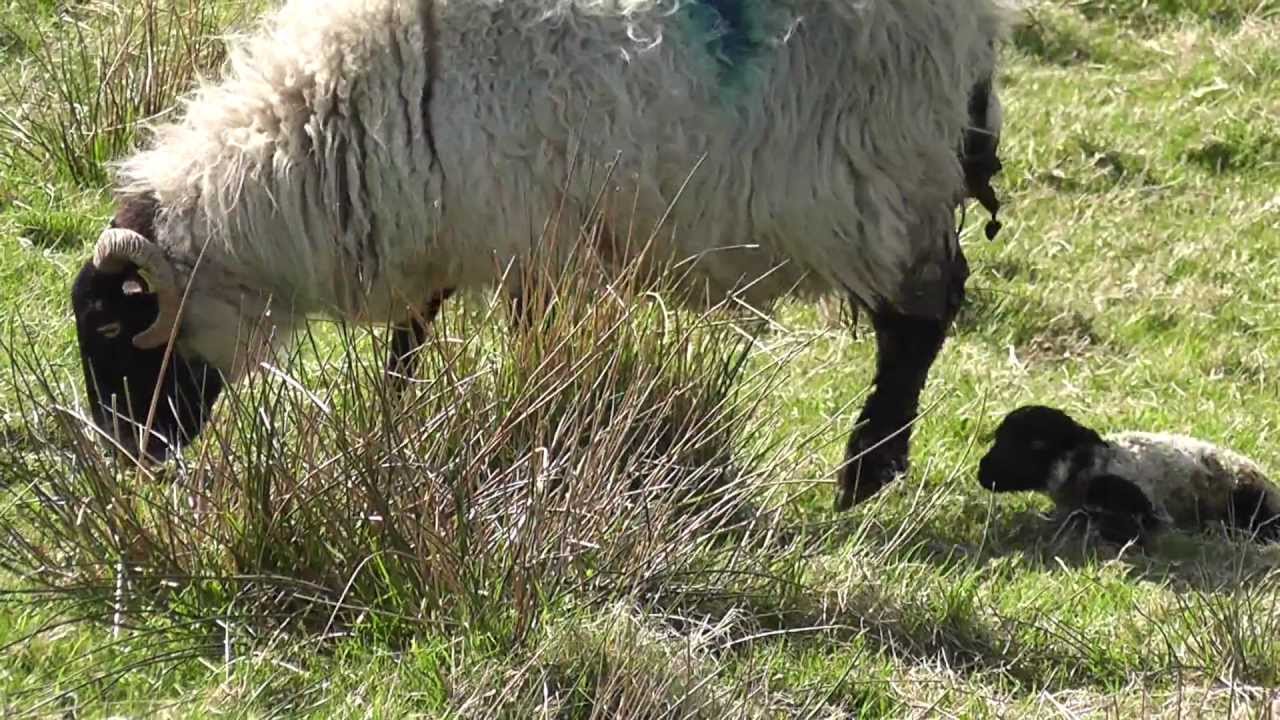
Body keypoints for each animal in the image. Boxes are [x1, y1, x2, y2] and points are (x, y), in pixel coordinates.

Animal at [69, 0, 1014, 510]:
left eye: (113, 333)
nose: (127, 459)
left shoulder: (532, 233)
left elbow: (519, 342)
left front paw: (525, 428)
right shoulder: (445, 220)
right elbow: (413, 335)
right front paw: (394, 420)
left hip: (888, 176)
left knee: (918, 323)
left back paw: (865, 472)